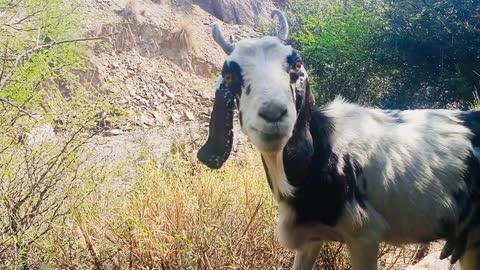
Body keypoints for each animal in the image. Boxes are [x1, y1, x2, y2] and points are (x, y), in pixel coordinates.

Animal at [197, 9, 480, 268]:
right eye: (229, 75)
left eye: (296, 65)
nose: (273, 113)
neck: (322, 153)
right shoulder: (311, 237)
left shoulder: (364, 235)